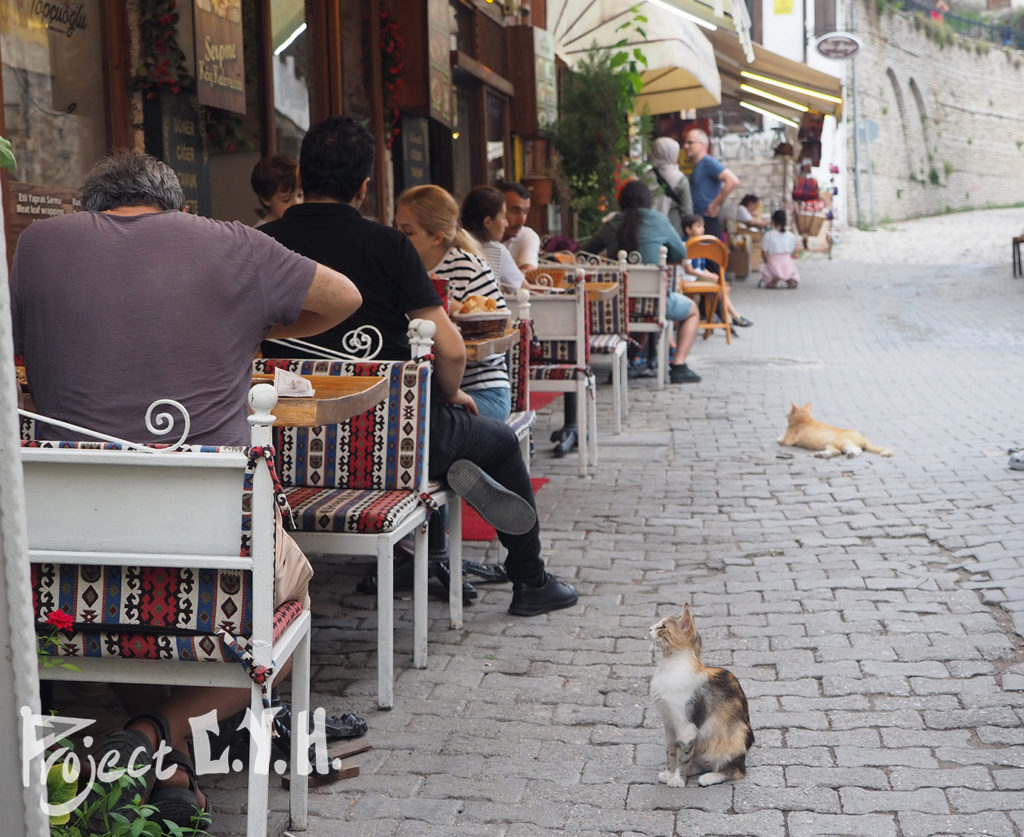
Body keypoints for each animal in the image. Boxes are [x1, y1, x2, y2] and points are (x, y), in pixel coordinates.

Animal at [647, 602, 753, 786]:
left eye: (663, 627)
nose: (649, 628)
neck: (669, 665)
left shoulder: (686, 725)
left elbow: (683, 754)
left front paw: (678, 779)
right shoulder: (669, 724)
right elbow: (671, 752)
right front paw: (669, 773)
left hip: (735, 738)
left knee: (736, 771)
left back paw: (709, 777)